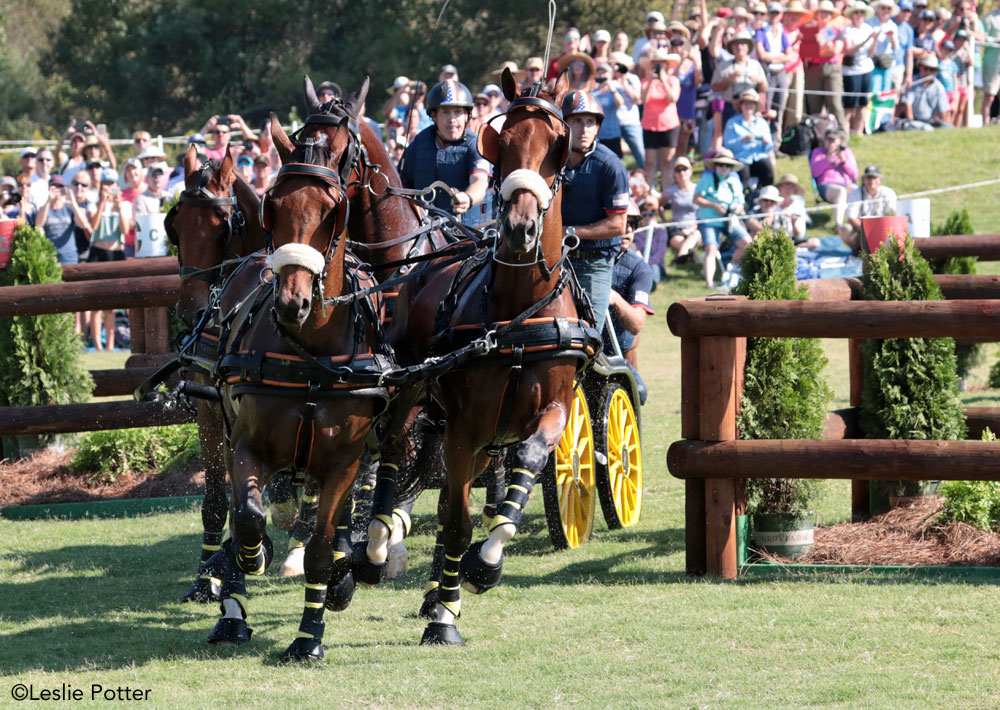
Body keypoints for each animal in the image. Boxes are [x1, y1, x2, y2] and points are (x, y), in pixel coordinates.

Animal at [380, 71, 592, 644]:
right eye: (504, 144)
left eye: (557, 148)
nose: (519, 227)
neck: (518, 313)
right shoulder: (466, 426)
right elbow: (456, 521)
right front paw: (445, 620)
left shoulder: (553, 409)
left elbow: (529, 464)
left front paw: (483, 565)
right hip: (413, 394)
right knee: (394, 456)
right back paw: (375, 546)